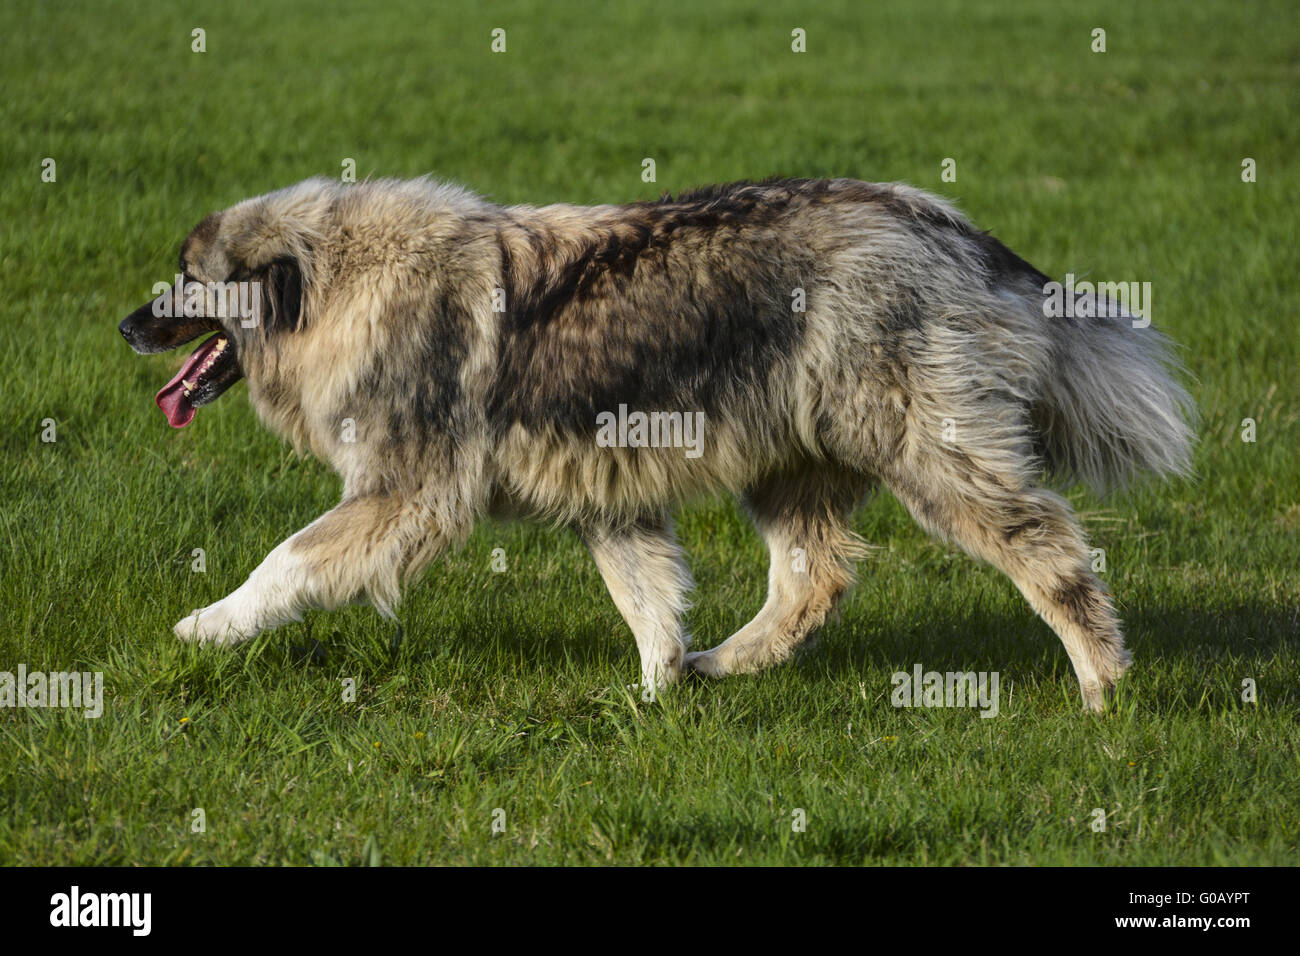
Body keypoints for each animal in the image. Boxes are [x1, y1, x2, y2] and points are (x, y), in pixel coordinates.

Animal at [116, 175, 1190, 712]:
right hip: (793, 462)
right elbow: (648, 602)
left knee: (1049, 548)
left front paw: (208, 625)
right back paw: (728, 664)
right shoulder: (608, 491)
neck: (343, 282)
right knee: (814, 578)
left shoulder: (402, 493)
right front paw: (658, 691)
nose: (126, 324)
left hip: (928, 452)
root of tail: (949, 226)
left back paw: (1103, 686)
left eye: (189, 281)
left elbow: (286, 562)